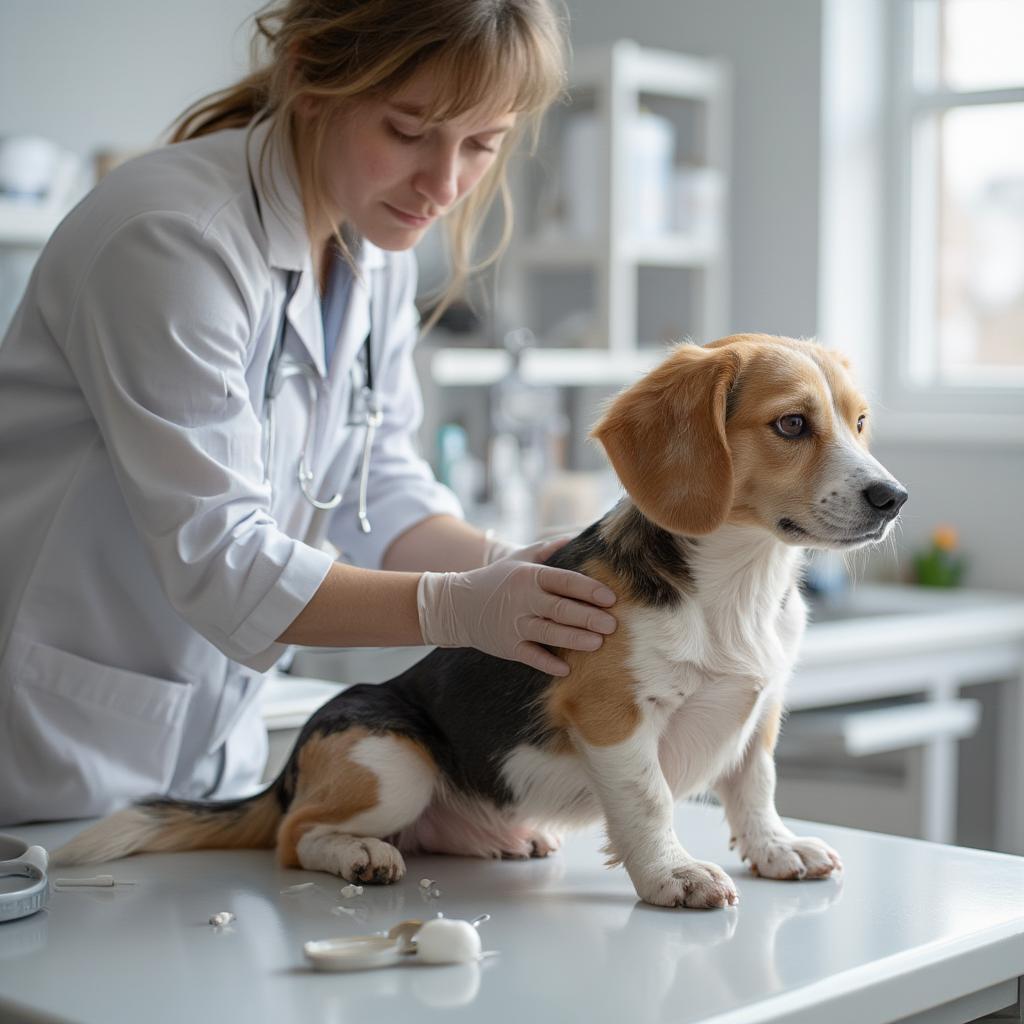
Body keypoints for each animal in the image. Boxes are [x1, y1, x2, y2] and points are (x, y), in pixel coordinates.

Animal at [56, 335, 905, 913]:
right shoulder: (613, 718)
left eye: (861, 424)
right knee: (295, 837)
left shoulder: (760, 710)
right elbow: (651, 801)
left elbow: (754, 788)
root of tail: (289, 765)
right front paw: (671, 874)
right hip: (392, 759)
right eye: (791, 425)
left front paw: (774, 849)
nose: (892, 498)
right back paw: (360, 854)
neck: (740, 585)